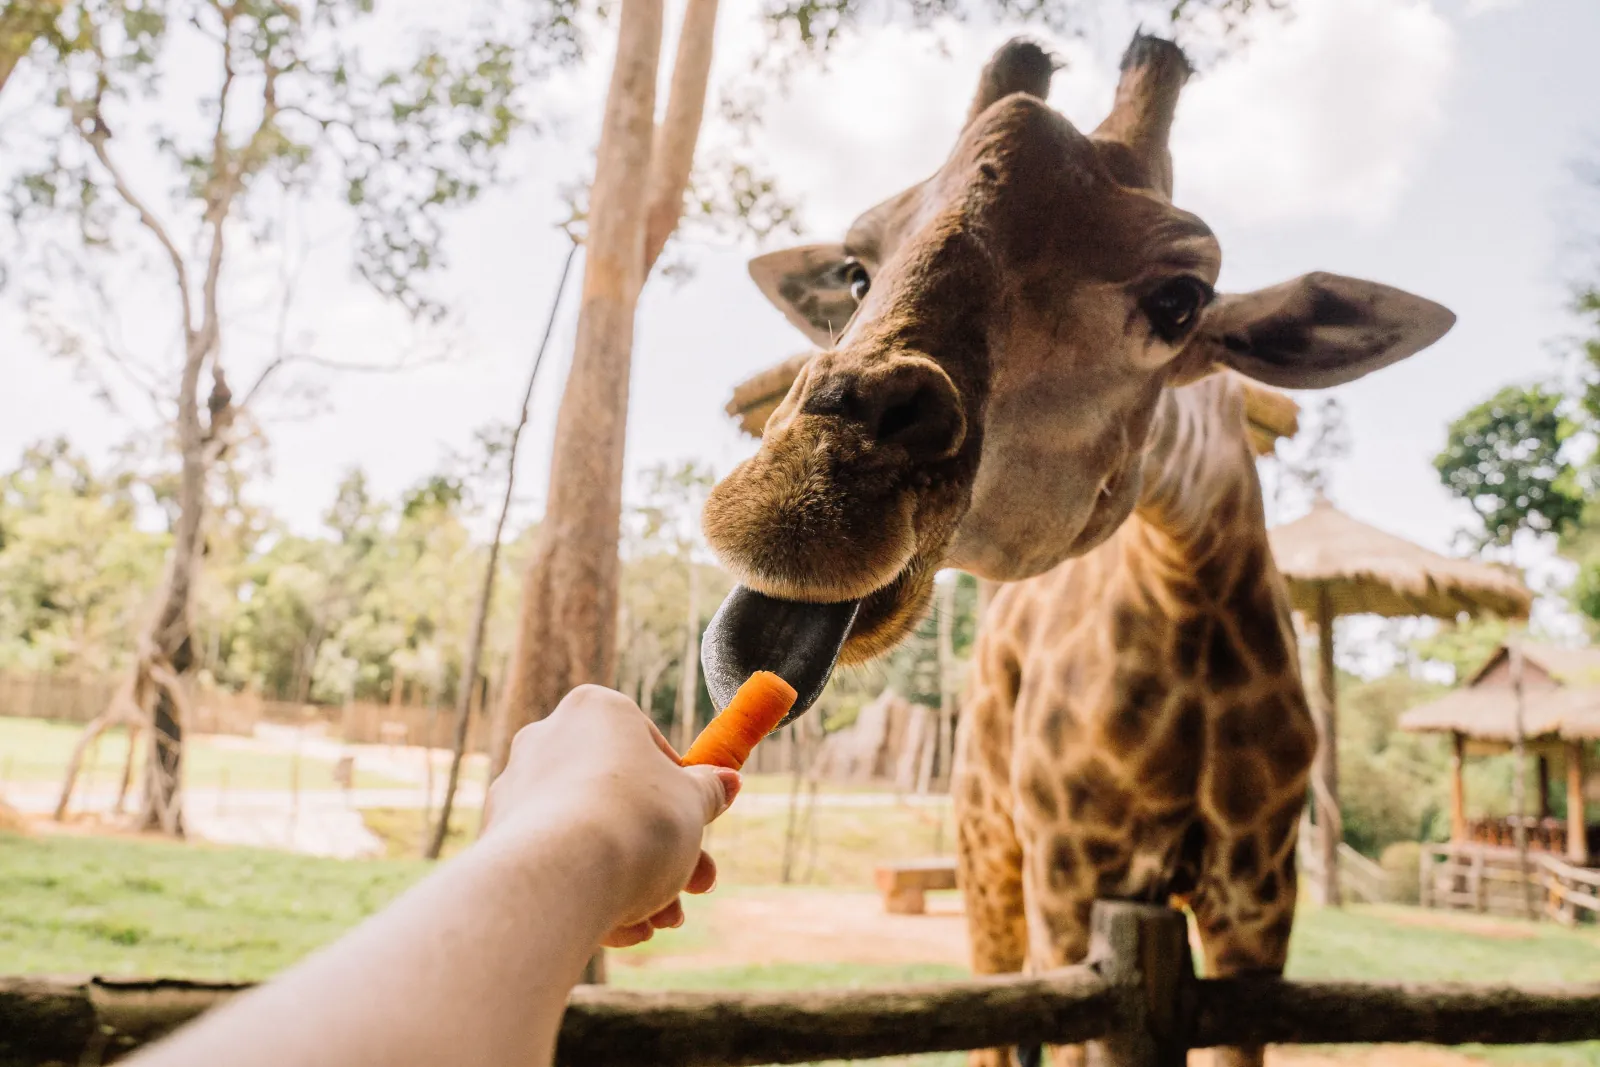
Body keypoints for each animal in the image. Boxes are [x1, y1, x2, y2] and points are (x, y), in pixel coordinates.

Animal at [697, 32, 1455, 1067]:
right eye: (856, 271)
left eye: (1181, 299)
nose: (796, 503)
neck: (1191, 590)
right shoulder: (1070, 875)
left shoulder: (1259, 901)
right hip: (987, 847)